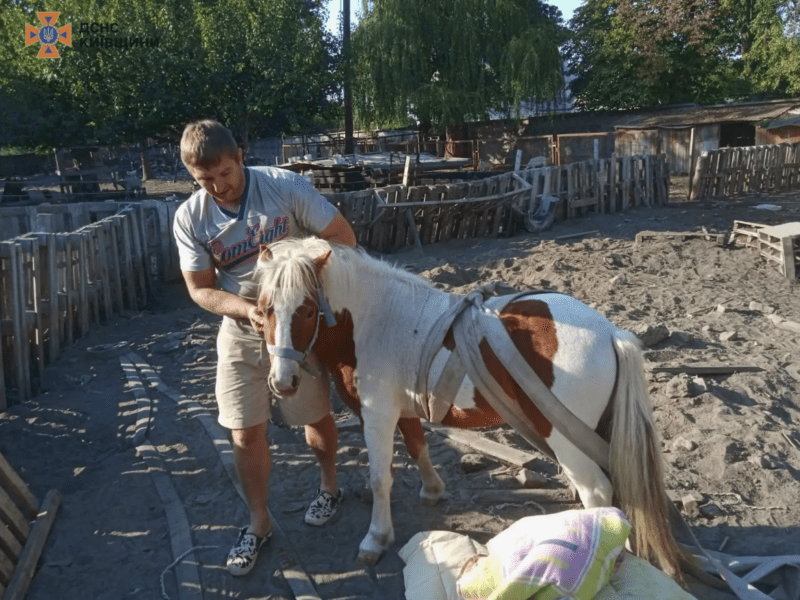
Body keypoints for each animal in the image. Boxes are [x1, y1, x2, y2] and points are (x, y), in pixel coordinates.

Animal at [256, 237, 688, 580]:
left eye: (307, 309)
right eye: (263, 309)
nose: (282, 381)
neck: (374, 319)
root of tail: (611, 332)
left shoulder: (377, 414)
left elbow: (381, 478)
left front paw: (376, 538)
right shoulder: (405, 410)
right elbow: (418, 447)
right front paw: (432, 490)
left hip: (565, 439)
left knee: (598, 493)